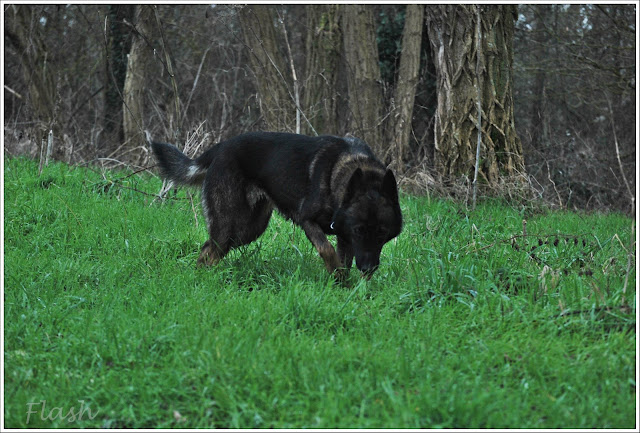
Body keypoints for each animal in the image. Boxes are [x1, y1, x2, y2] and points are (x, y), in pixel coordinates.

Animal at [151, 132, 400, 278]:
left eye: (382, 233)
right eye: (359, 230)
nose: (367, 268)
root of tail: (220, 148)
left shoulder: (344, 237)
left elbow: (343, 261)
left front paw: (345, 288)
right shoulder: (308, 221)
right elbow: (327, 250)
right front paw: (337, 277)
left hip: (247, 231)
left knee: (209, 249)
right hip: (228, 227)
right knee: (208, 251)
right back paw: (203, 281)